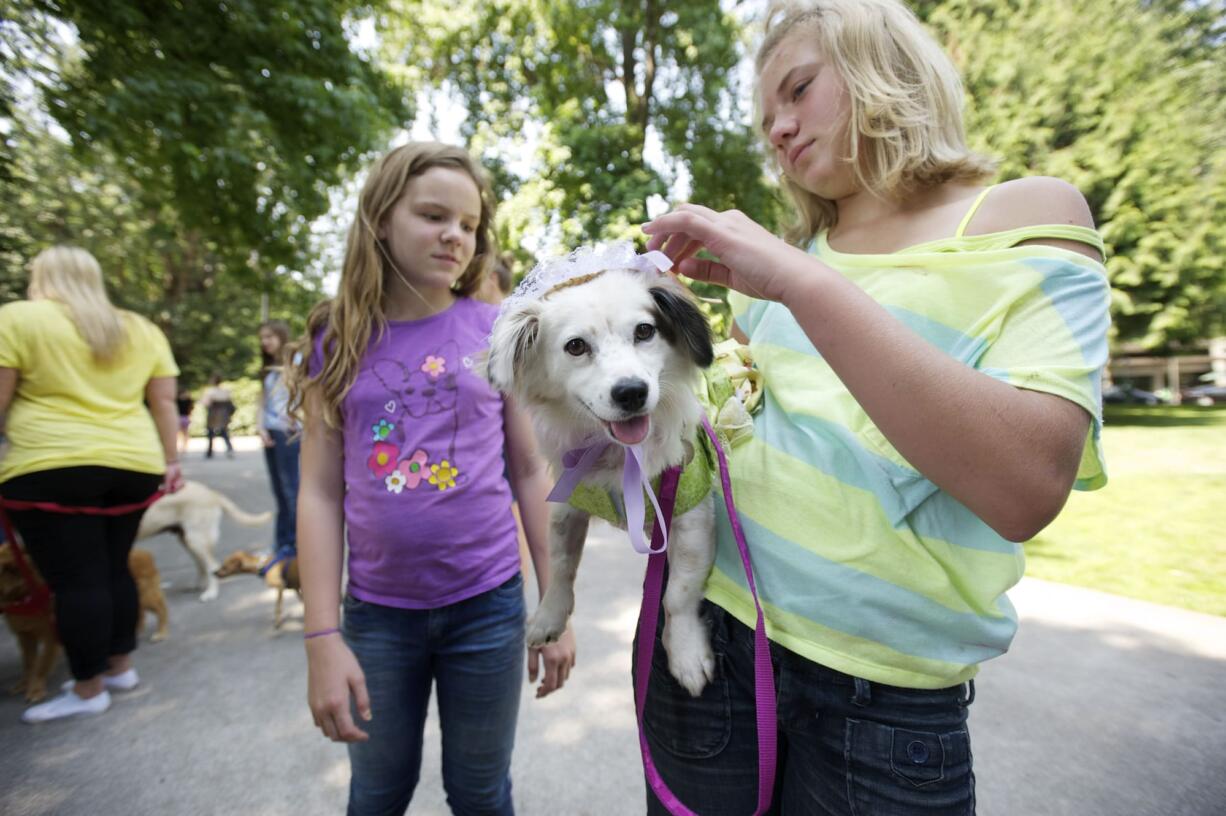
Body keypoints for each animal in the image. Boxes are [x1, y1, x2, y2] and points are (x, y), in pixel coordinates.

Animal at [485, 246, 715, 691]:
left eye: (645, 331)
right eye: (575, 346)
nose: (631, 392)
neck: (620, 457)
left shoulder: (692, 513)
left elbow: (678, 594)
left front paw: (686, 654)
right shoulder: (567, 502)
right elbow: (560, 565)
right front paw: (548, 618)